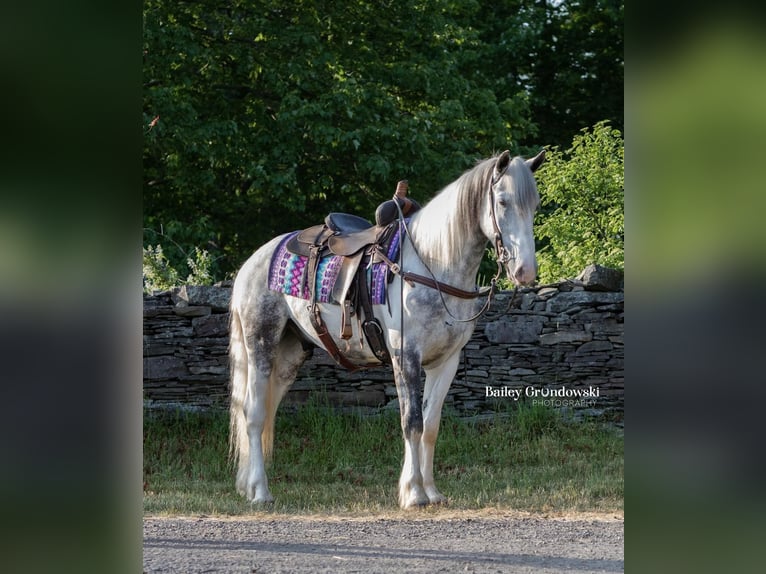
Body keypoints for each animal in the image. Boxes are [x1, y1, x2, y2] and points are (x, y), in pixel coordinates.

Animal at [228, 151, 544, 510]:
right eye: (503, 201)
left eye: (534, 205)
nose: (525, 271)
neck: (432, 265)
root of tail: (252, 263)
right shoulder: (406, 357)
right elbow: (412, 423)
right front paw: (414, 493)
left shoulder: (446, 362)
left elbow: (431, 424)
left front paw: (431, 491)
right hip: (261, 343)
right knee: (253, 413)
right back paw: (260, 492)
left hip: (290, 355)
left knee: (266, 411)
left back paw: (249, 485)